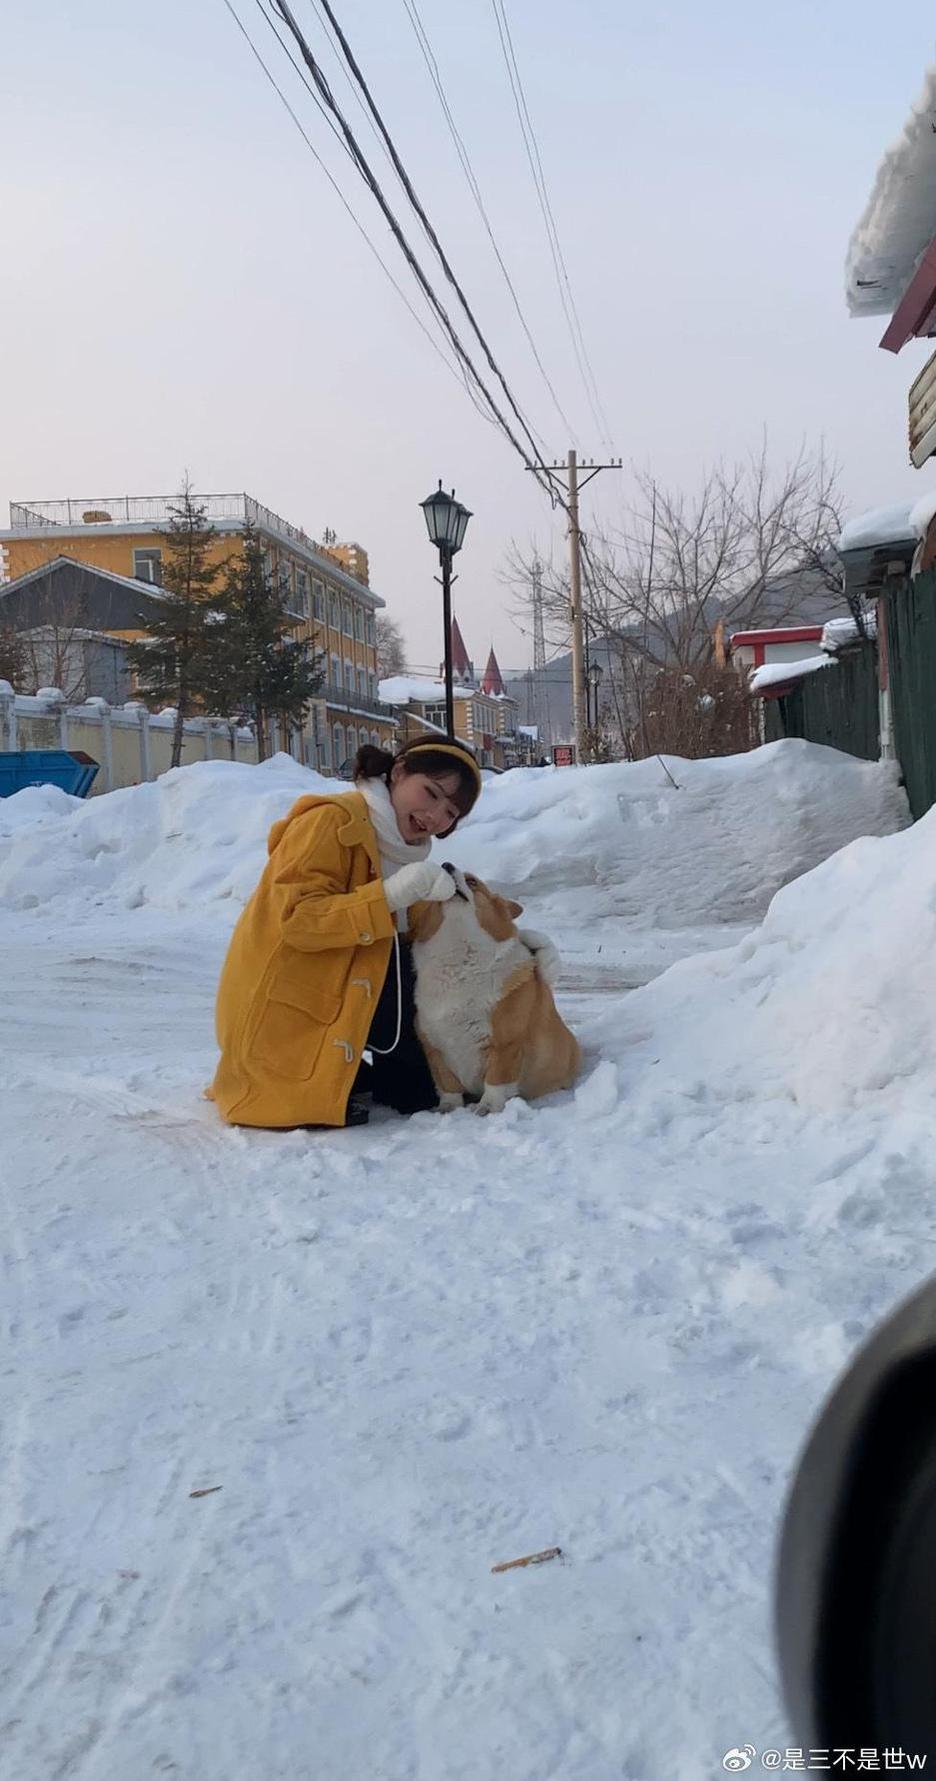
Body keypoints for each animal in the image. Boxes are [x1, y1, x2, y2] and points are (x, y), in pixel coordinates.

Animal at [412, 862, 583, 1111]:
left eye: (472, 881)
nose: (446, 864)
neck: (460, 962)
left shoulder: (505, 1044)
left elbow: (495, 1081)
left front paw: (486, 1109)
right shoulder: (434, 1047)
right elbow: (448, 1085)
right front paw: (448, 1109)